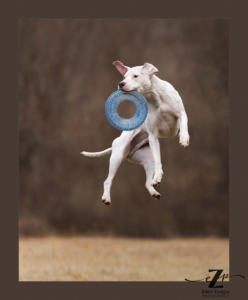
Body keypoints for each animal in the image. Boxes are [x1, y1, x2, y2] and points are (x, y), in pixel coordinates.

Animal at [82, 62, 189, 205]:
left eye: (136, 76)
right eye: (124, 76)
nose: (121, 83)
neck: (155, 98)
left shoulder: (181, 113)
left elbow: (183, 124)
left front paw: (183, 138)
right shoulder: (153, 136)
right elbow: (158, 160)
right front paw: (158, 176)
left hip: (147, 159)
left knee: (147, 182)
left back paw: (154, 192)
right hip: (118, 156)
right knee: (108, 180)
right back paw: (106, 197)